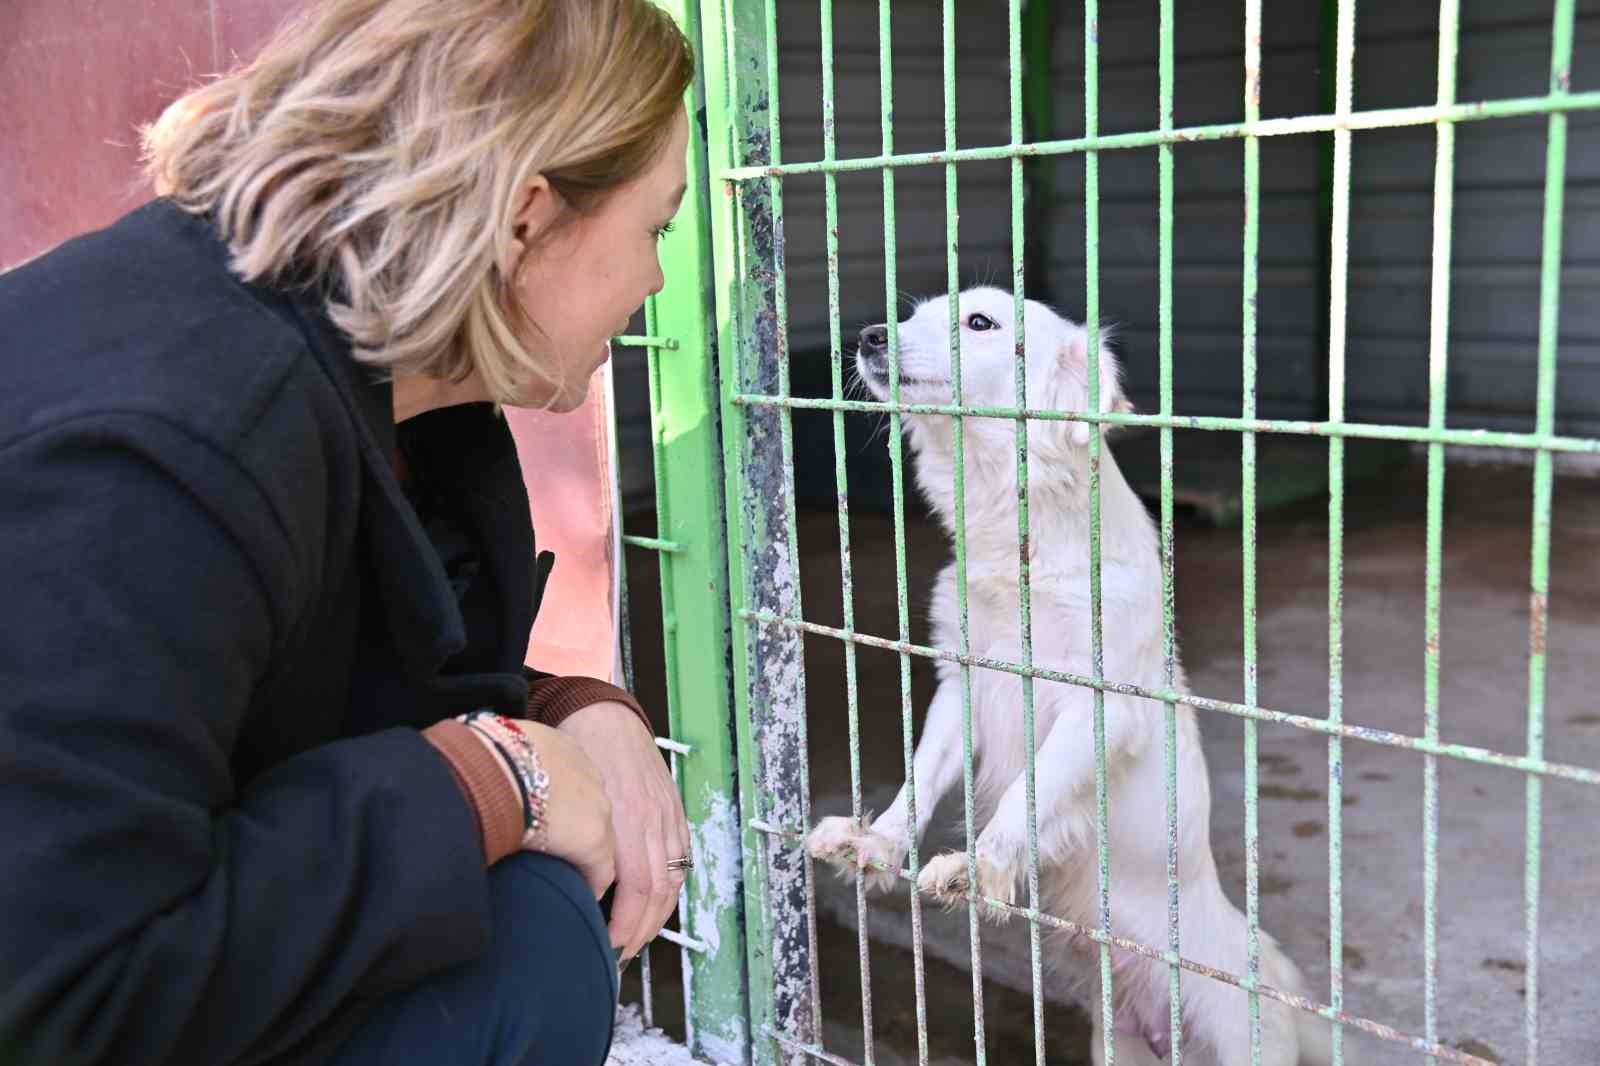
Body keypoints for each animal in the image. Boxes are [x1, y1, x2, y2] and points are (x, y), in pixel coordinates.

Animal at [806, 284, 1331, 1062]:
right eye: (912, 313)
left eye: (981, 323)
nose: (868, 335)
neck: (1018, 538)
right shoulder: (964, 685)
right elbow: (920, 774)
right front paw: (877, 843)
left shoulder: (1098, 706)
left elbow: (1030, 789)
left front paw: (981, 866)